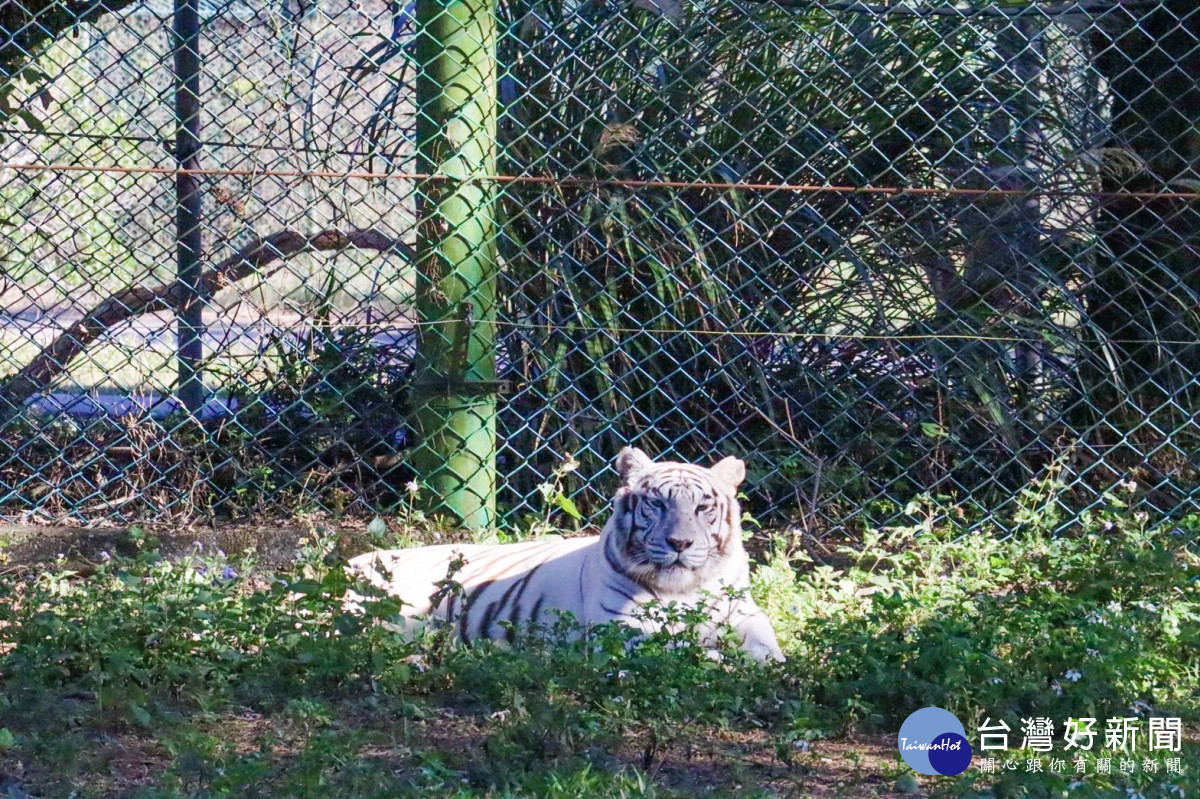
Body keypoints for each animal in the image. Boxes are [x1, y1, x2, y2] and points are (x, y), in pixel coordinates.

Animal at [345, 448, 787, 657]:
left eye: (702, 508)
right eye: (657, 505)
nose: (680, 543)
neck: (685, 590)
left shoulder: (747, 615)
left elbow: (768, 651)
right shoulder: (623, 630)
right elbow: (684, 650)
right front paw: (720, 658)